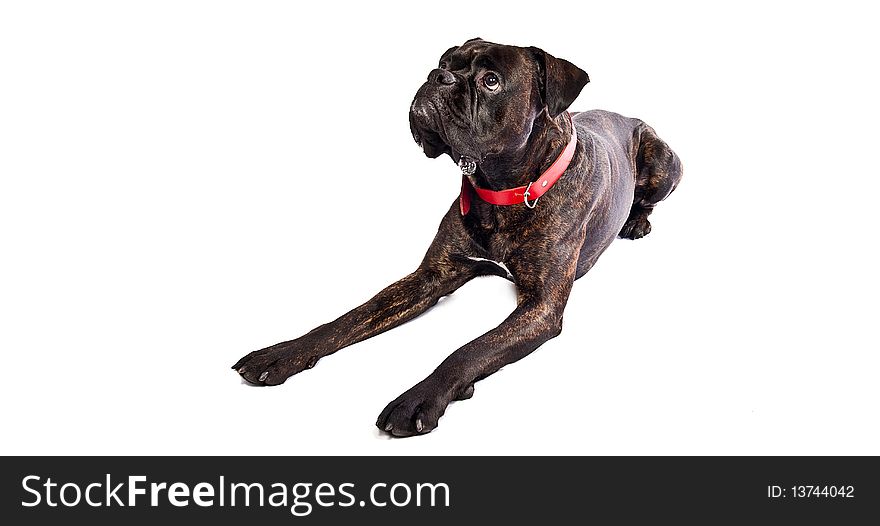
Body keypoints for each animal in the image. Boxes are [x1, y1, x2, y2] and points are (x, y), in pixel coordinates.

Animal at [232, 39, 680, 440]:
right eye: (445, 62)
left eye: (491, 81)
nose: (437, 77)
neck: (502, 189)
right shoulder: (431, 275)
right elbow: (349, 318)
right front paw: (283, 352)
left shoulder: (540, 307)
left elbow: (469, 350)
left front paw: (418, 399)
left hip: (663, 164)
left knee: (649, 200)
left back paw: (636, 222)